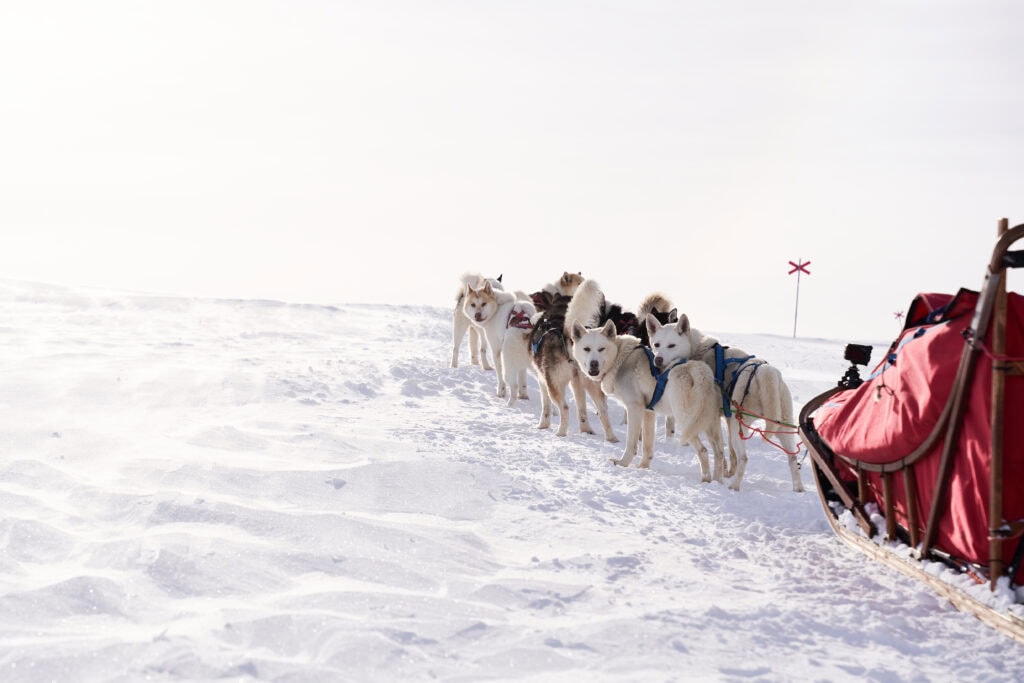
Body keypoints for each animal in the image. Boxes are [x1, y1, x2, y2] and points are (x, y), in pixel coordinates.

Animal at [529, 290, 617, 440]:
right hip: (591, 383)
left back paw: (560, 433)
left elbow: (546, 407)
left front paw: (542, 425)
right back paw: (609, 438)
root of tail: (567, 337)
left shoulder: (542, 380)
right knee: (602, 410)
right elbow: (582, 409)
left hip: (555, 385)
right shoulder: (577, 382)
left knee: (564, 408)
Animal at [570, 318, 724, 475]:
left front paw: (623, 463)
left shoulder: (634, 409)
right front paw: (643, 467)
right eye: (587, 349)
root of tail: (699, 372)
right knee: (720, 453)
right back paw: (717, 479)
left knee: (703, 451)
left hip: (686, 422)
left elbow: (631, 444)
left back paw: (706, 478)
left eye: (601, 349)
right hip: (708, 426)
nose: (593, 363)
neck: (620, 359)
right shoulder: (648, 412)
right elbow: (647, 447)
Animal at [646, 312, 803, 492]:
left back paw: (734, 487)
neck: (697, 348)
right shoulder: (725, 418)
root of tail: (763, 370)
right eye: (657, 344)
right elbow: (728, 452)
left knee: (744, 458)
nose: (658, 359)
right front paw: (726, 472)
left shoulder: (717, 419)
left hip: (738, 426)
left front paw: (721, 475)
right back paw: (798, 489)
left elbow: (722, 452)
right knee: (792, 459)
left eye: (671, 345)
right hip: (781, 427)